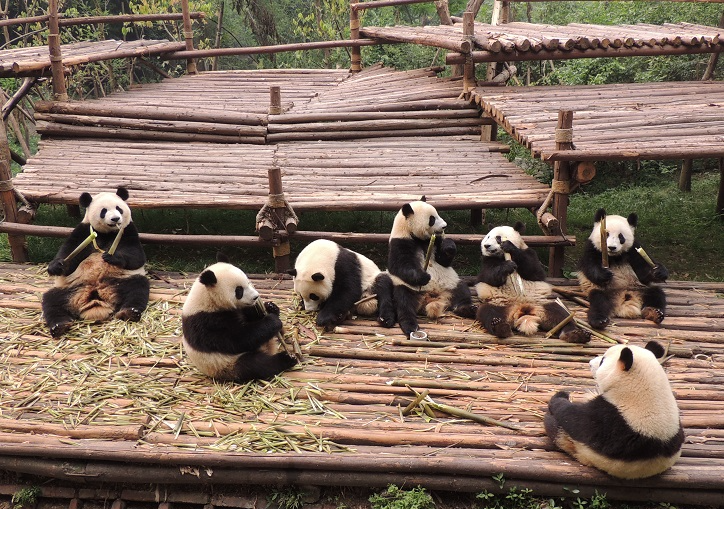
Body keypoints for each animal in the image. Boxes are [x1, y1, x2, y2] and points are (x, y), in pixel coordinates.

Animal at [41, 186, 150, 338]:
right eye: (104, 211)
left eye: (119, 208)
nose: (116, 218)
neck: (108, 233)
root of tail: (95, 293)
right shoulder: (83, 230)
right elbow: (69, 253)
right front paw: (56, 266)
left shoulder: (128, 230)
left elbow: (136, 256)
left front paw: (112, 257)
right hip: (70, 288)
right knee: (51, 301)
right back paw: (59, 326)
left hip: (120, 281)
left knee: (137, 288)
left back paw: (129, 312)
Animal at [181, 255, 298, 383]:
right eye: (239, 290)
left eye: (248, 282)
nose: (256, 297)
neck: (208, 298)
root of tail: (268, 348)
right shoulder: (206, 322)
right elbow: (238, 339)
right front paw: (272, 321)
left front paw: (270, 308)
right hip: (225, 364)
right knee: (255, 364)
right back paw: (286, 359)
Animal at [379, 196, 477, 338]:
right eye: (432, 219)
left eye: (437, 214)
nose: (445, 226)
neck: (413, 234)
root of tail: (429, 297)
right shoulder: (400, 243)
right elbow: (400, 266)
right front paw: (423, 276)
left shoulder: (436, 242)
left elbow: (444, 260)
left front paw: (449, 246)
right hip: (408, 287)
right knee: (403, 300)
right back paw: (410, 325)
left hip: (450, 282)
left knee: (461, 291)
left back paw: (469, 309)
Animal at [544, 340, 684, 480]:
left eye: (602, 361)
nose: (590, 363)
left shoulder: (610, 419)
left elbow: (574, 420)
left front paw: (560, 398)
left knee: (555, 427)